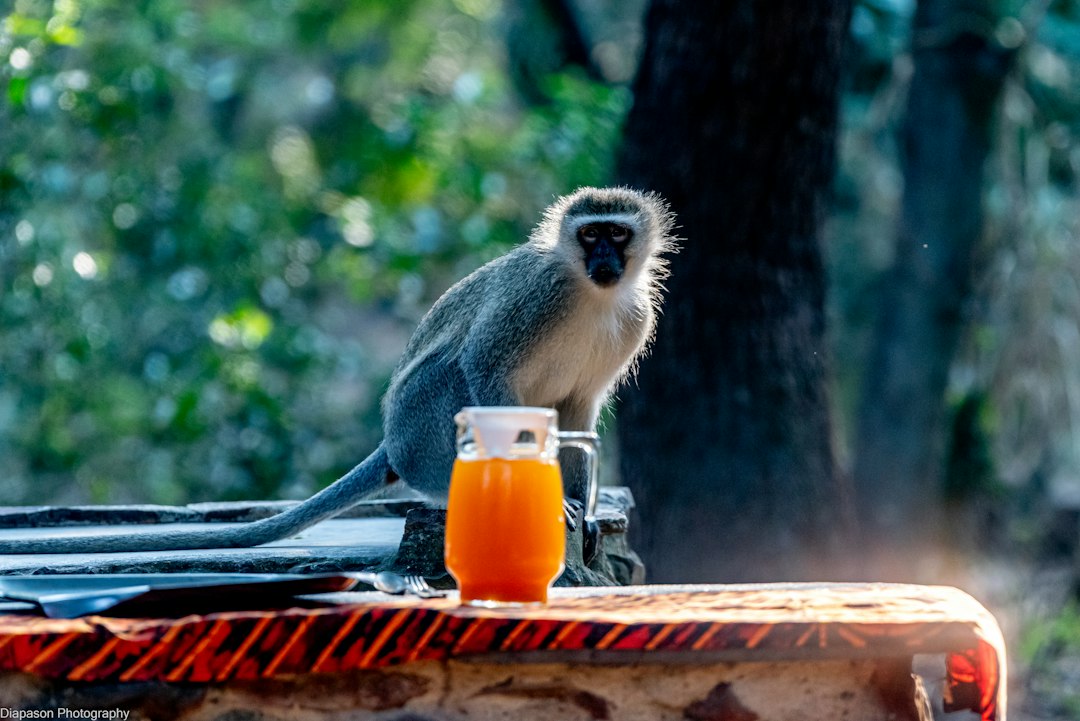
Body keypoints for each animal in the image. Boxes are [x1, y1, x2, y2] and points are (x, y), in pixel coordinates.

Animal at [0, 187, 676, 555]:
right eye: (590, 236)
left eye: (618, 234)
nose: (606, 259)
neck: (592, 294)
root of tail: (393, 444)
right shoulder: (537, 296)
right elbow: (483, 365)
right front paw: (544, 494)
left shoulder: (633, 317)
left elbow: (578, 412)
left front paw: (584, 507)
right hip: (423, 427)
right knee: (453, 378)